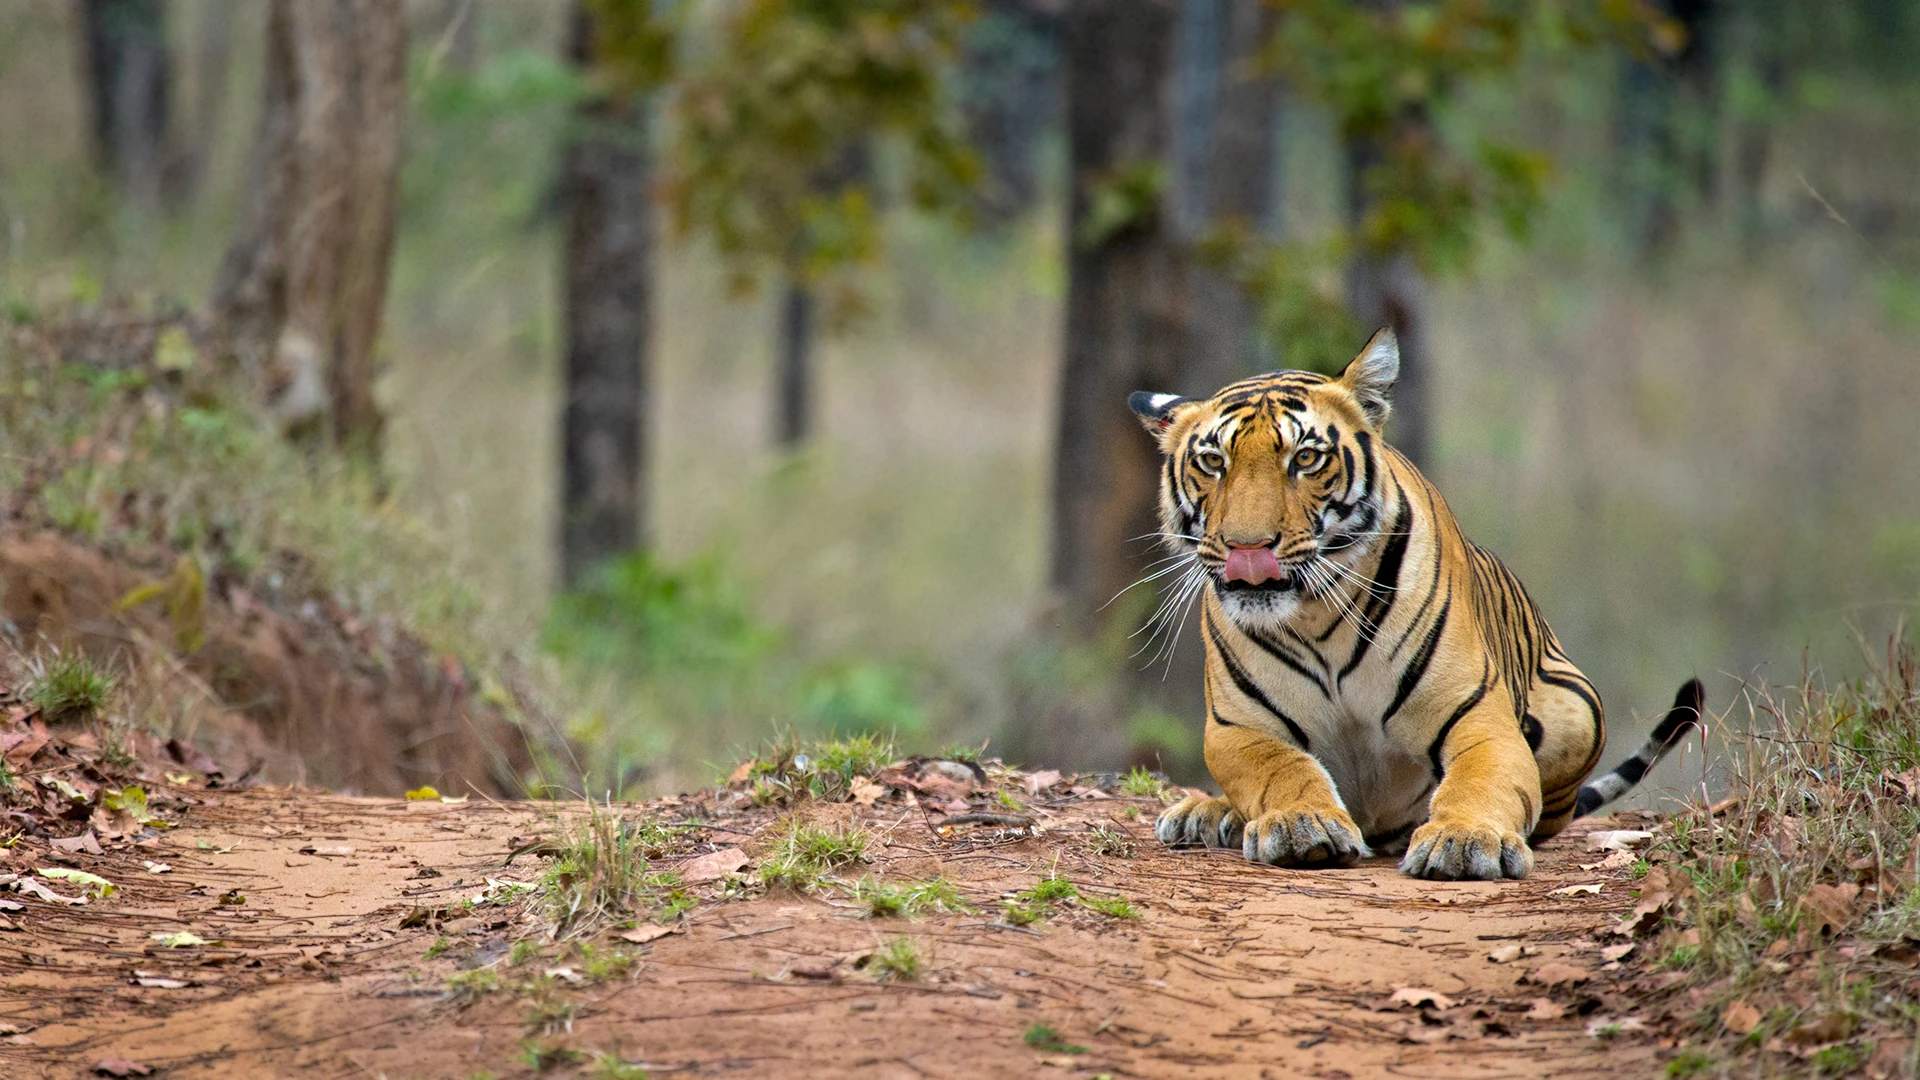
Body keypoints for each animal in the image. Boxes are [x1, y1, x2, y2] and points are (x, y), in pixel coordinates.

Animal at [1133, 329, 1703, 880]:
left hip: (1579, 712)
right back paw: (1204, 815)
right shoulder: (1237, 729)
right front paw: (1302, 822)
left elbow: (1480, 780)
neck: (1316, 616)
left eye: (1306, 458)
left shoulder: (1480, 717)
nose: (1246, 549)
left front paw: (1465, 840)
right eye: (1213, 463)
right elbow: (1281, 769)